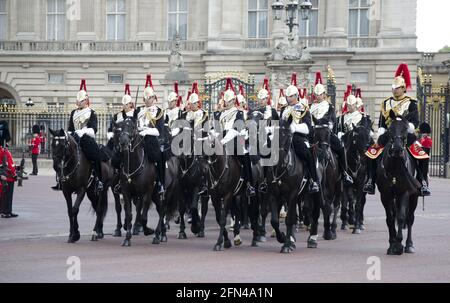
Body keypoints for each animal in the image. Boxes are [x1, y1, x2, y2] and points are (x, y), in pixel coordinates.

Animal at [113, 117, 166, 248]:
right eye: (120, 127)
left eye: (132, 126)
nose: (123, 142)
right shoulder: (126, 193)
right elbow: (129, 214)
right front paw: (127, 238)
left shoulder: (147, 193)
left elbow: (143, 217)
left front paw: (148, 230)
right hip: (153, 195)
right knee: (160, 210)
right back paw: (160, 234)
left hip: (157, 193)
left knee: (162, 209)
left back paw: (158, 235)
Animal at [374, 113, 420, 255]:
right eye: (390, 130)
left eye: (405, 129)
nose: (398, 149)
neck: (395, 167)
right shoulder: (385, 195)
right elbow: (390, 218)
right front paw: (392, 244)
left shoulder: (404, 192)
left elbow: (401, 217)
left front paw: (399, 244)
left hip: (414, 196)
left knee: (410, 218)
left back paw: (409, 245)